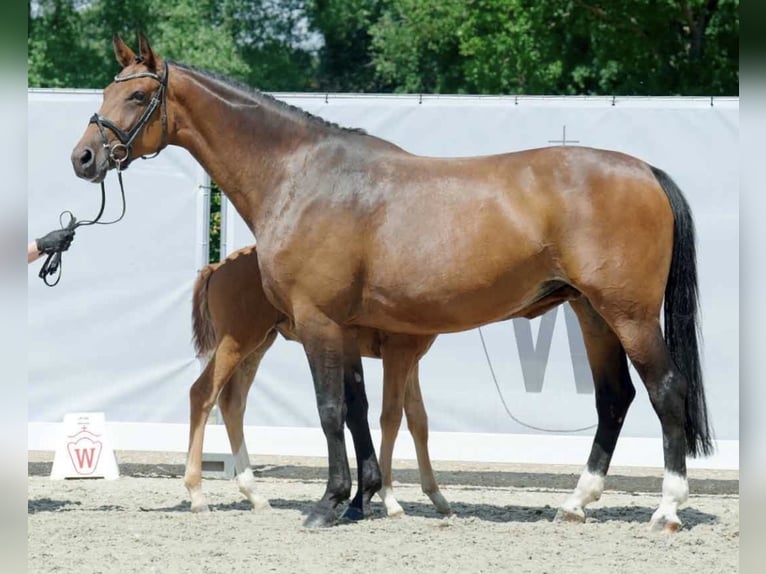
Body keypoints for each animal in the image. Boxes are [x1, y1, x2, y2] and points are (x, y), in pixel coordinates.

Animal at [187, 244, 449, 518]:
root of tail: (217, 266)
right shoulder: (397, 354)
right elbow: (391, 418)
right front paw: (390, 500)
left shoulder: (412, 360)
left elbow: (419, 421)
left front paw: (436, 496)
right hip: (237, 341)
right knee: (202, 393)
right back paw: (197, 495)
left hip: (258, 345)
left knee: (232, 403)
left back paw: (255, 495)